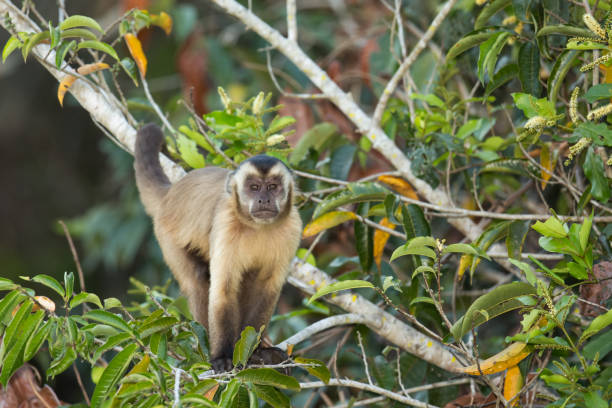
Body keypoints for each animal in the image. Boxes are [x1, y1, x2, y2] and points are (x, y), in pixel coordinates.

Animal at [136, 122, 304, 372]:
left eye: (273, 187)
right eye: (254, 187)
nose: (264, 199)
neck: (256, 226)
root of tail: (170, 194)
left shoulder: (293, 227)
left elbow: (266, 288)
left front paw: (257, 352)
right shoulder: (225, 223)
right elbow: (223, 290)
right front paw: (222, 356)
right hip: (166, 233)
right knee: (198, 279)